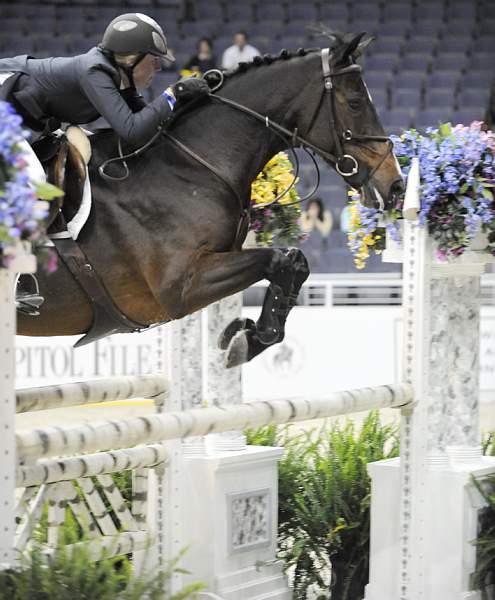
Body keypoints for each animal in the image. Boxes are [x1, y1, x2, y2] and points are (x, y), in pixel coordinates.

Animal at [17, 34, 404, 370]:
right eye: (355, 103)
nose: (396, 185)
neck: (187, 164)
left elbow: (294, 263)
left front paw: (252, 335)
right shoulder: (179, 288)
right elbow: (282, 259)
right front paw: (248, 340)